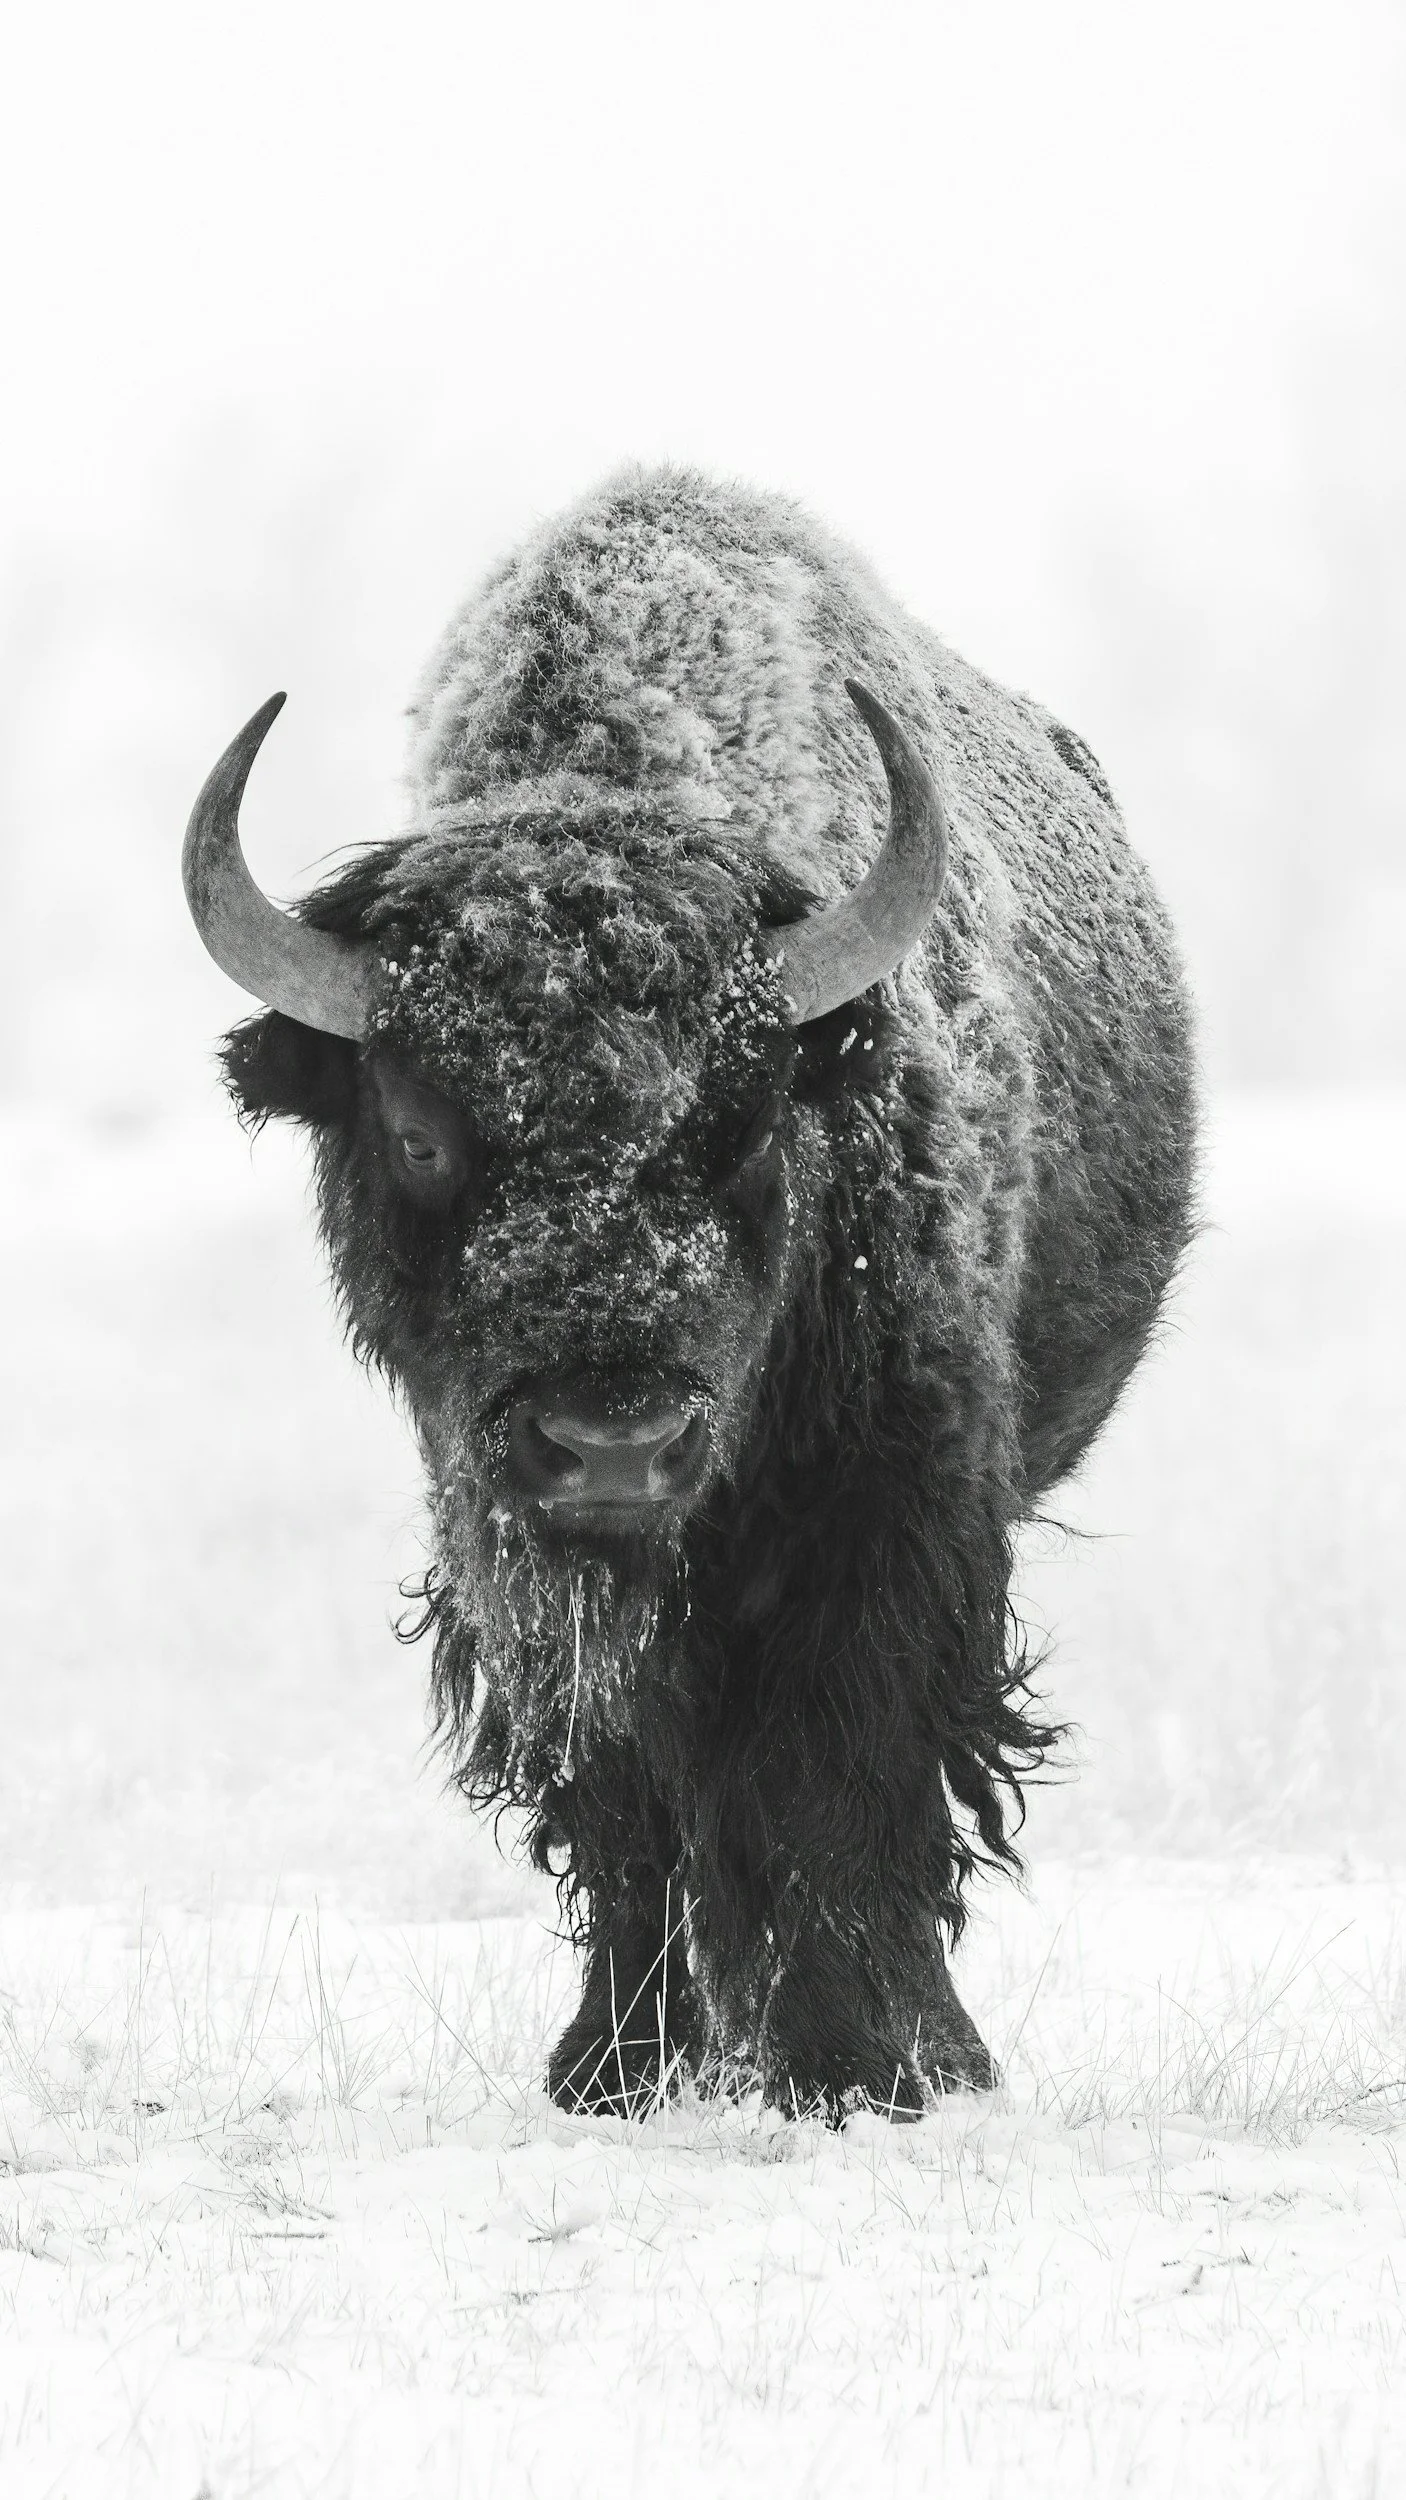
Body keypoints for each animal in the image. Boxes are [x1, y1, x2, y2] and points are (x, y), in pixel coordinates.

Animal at [184, 467, 1197, 2118]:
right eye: (419, 1131)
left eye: (747, 1116)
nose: (612, 1444)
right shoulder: (506, 1537)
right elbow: (624, 1790)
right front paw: (614, 2066)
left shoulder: (895, 1509)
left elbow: (848, 1774)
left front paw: (872, 2068)